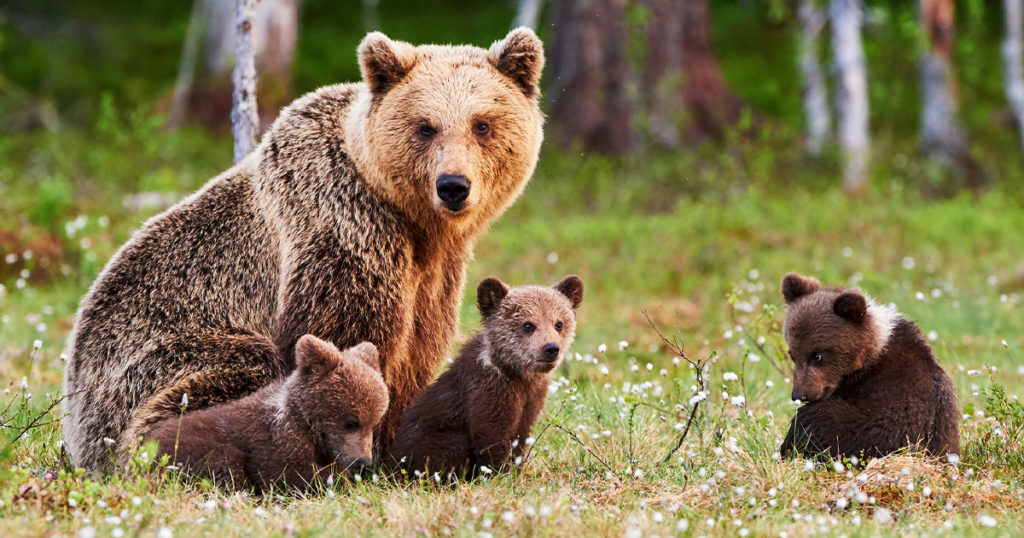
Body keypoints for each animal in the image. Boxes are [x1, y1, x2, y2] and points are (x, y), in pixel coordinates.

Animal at [62, 28, 546, 473]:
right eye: (425, 126)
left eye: (482, 124)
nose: (453, 186)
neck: (411, 222)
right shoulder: (341, 228)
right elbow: (344, 339)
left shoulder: (435, 273)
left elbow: (417, 352)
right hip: (151, 362)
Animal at [392, 275, 583, 479]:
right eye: (528, 325)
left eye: (559, 324)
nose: (551, 348)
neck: (517, 374)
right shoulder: (490, 391)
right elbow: (491, 437)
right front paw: (500, 473)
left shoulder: (532, 398)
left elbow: (521, 435)